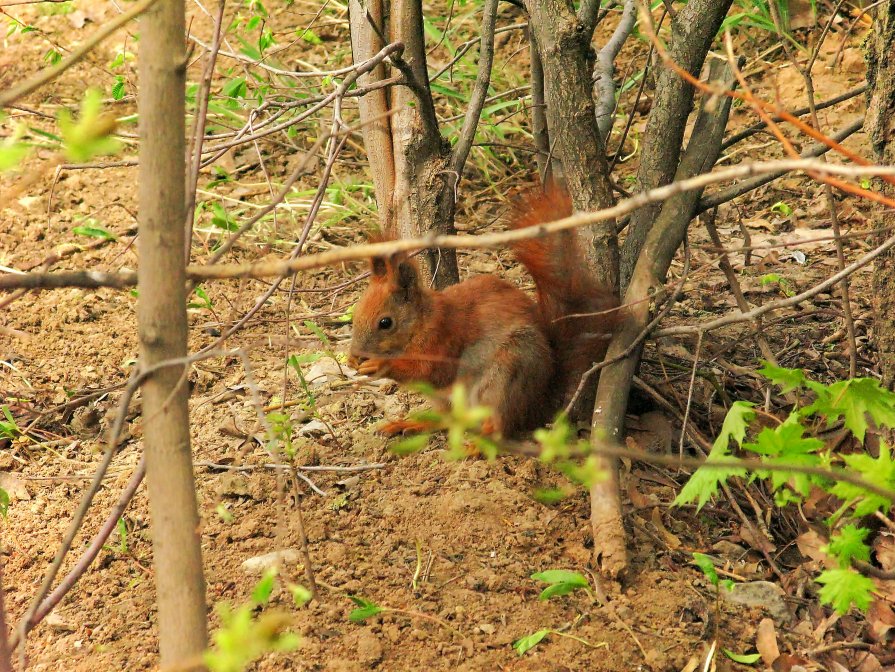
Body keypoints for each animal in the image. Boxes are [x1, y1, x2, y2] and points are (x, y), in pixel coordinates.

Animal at [346, 188, 620, 440]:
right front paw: (352, 362)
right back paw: (410, 423)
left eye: (385, 322)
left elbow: (429, 371)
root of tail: (540, 401)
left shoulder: (444, 337)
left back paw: (477, 444)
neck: (421, 322)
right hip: (449, 399)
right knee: (447, 420)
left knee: (500, 425)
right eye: (355, 314)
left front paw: (380, 364)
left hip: (509, 372)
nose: (356, 354)